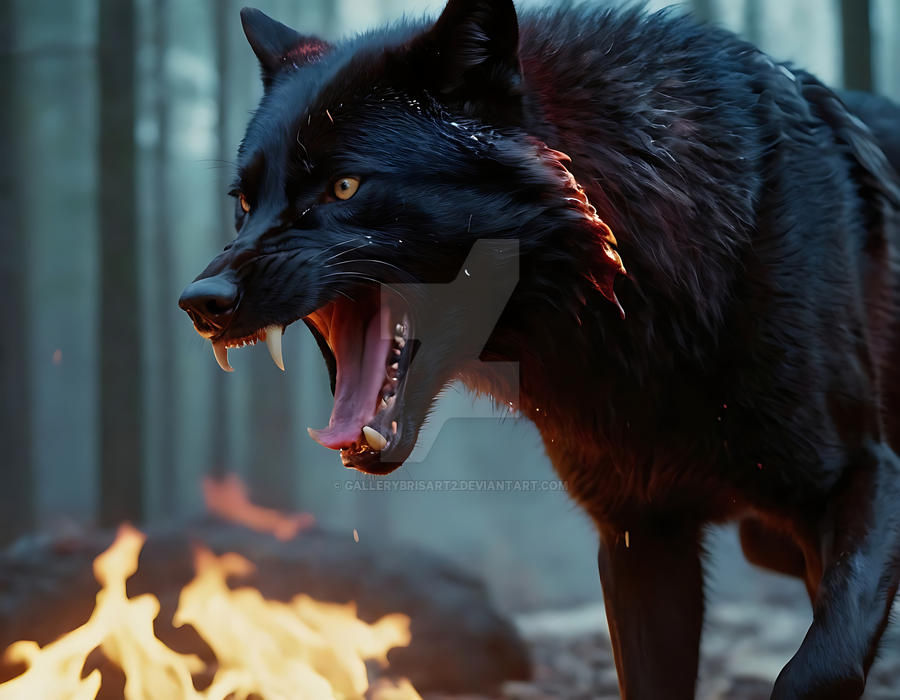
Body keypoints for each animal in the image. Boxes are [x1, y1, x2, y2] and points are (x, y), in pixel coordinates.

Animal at [178, 1, 900, 697]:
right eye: (244, 202)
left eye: (345, 186)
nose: (201, 302)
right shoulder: (641, 537)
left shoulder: (869, 474)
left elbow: (819, 669)